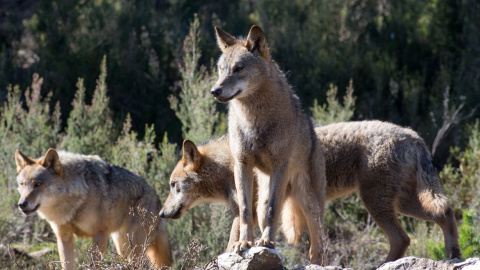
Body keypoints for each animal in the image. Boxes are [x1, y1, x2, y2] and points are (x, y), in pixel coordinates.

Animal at [15, 150, 172, 270]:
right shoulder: (64, 237)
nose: (22, 204)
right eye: (22, 184)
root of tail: (157, 199)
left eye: (37, 184)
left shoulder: (100, 234)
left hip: (134, 248)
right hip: (123, 246)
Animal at [160, 121, 462, 264]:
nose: (161, 213)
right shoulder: (247, 213)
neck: (229, 165)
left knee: (403, 238)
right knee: (445, 214)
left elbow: (232, 243)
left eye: (174, 186)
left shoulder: (248, 213)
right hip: (404, 204)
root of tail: (414, 136)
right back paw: (453, 254)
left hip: (378, 204)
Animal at [210, 25, 326, 264]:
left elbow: (274, 210)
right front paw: (244, 243)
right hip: (264, 195)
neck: (253, 120)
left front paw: (266, 242)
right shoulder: (242, 165)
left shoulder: (280, 166)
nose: (214, 91)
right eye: (221, 69)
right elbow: (245, 211)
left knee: (317, 247)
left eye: (238, 68)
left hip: (310, 205)